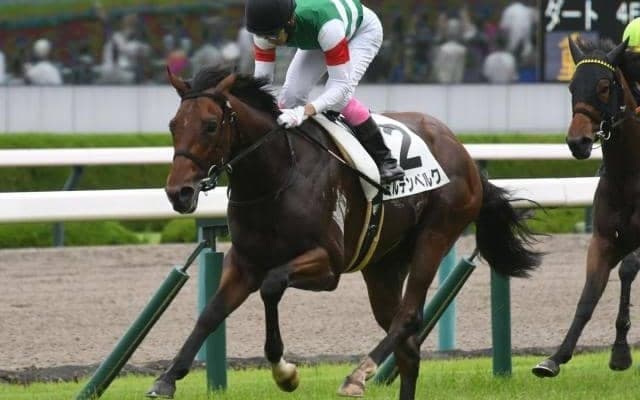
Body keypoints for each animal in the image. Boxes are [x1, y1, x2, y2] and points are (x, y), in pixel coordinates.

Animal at [146, 66, 541, 400]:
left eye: (211, 125)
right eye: (173, 125)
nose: (178, 193)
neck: (277, 175)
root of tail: (464, 153)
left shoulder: (328, 264)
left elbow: (272, 286)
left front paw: (284, 371)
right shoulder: (243, 262)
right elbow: (210, 313)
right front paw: (167, 378)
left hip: (437, 234)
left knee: (409, 316)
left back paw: (357, 375)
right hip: (383, 265)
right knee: (407, 344)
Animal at [532, 37, 640, 378]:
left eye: (604, 86)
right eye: (571, 87)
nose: (577, 142)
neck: (630, 175)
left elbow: (627, 270)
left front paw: (620, 352)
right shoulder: (604, 240)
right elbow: (588, 296)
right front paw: (555, 358)